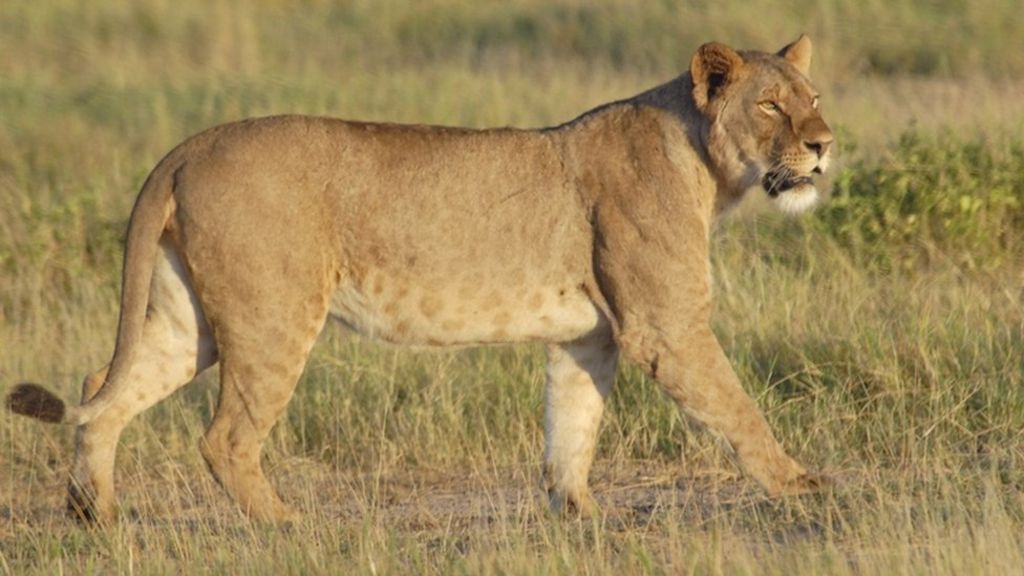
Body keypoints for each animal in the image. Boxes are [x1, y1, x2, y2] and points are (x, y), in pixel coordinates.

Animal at [7, 36, 833, 522]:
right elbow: (736, 408)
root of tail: (191, 144)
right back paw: (285, 528)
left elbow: (572, 427)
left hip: (194, 320)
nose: (825, 145)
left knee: (100, 388)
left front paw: (584, 516)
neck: (706, 167)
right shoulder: (666, 327)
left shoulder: (587, 337)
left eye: (814, 99)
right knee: (225, 438)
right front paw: (799, 486)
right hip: (274, 315)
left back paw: (94, 516)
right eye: (770, 105)